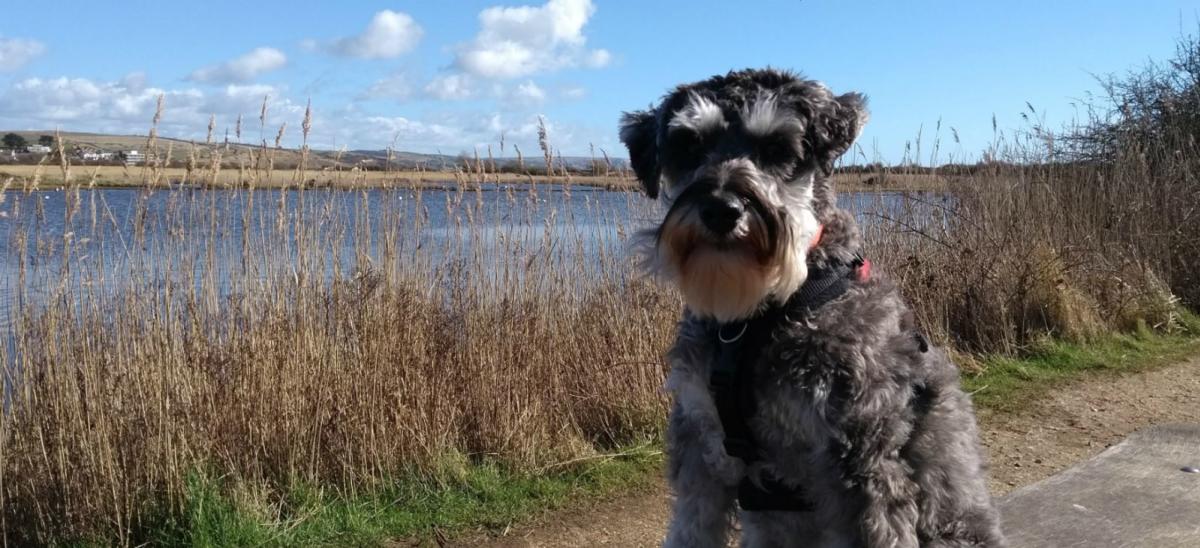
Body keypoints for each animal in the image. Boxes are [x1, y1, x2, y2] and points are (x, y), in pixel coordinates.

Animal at [624, 69, 1008, 546]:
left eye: (776, 149)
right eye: (689, 145)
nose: (721, 209)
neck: (756, 318)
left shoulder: (860, 457)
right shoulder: (699, 443)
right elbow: (692, 527)